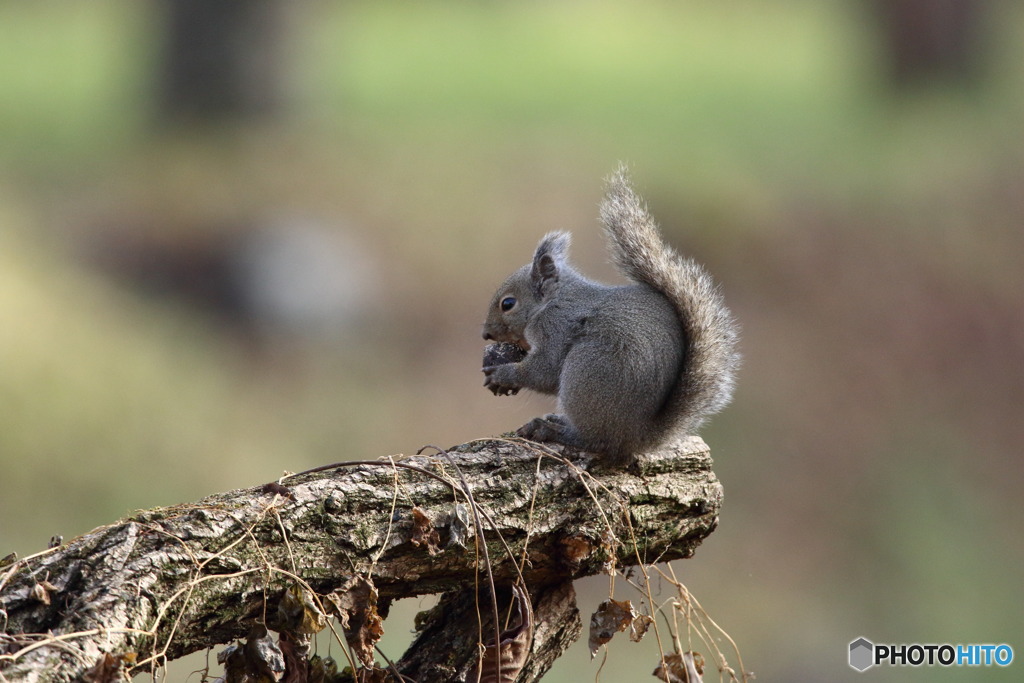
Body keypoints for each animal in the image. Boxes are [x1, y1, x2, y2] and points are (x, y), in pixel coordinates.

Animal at [479, 167, 737, 462]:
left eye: (508, 303)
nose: (485, 334)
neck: (552, 302)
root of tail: (638, 437)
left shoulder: (556, 326)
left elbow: (545, 370)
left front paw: (503, 373)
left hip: (587, 370)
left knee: (596, 440)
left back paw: (552, 430)